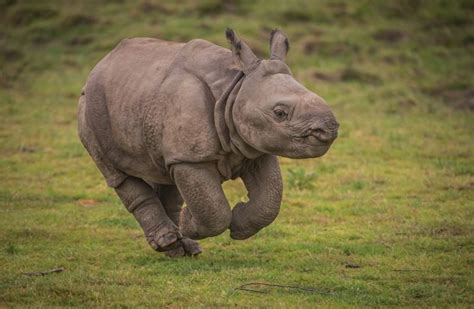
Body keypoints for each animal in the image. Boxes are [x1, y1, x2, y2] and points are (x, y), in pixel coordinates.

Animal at [77, 28, 336, 256]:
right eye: (280, 113)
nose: (328, 129)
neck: (234, 88)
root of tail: (100, 63)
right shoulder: (191, 157)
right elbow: (214, 209)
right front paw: (191, 222)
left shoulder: (256, 147)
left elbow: (270, 200)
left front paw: (237, 225)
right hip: (90, 107)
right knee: (118, 174)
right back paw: (170, 241)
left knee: (165, 174)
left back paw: (182, 248)